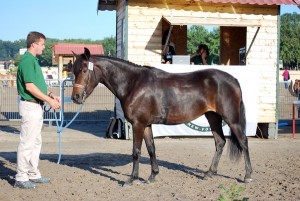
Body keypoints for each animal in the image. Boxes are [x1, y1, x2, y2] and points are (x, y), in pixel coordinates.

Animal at [71, 47, 252, 185]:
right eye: (74, 71)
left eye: (85, 70)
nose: (75, 97)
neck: (133, 83)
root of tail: (233, 79)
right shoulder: (146, 125)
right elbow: (151, 148)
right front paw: (152, 176)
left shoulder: (138, 124)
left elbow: (136, 151)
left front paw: (131, 179)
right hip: (212, 116)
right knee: (220, 142)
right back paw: (209, 173)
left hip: (232, 119)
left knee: (243, 142)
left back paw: (248, 176)